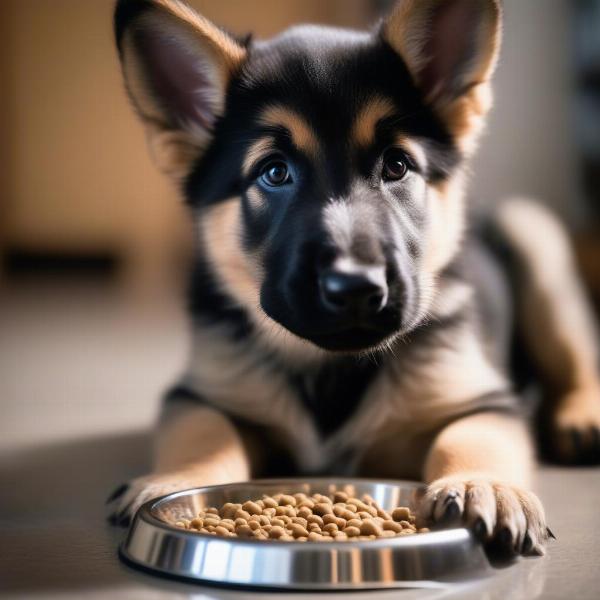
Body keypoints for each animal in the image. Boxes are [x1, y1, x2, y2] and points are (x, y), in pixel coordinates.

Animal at [108, 0, 600, 556]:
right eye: (274, 172)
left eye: (397, 165)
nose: (357, 289)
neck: (330, 368)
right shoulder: (200, 393)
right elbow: (206, 433)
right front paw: (175, 480)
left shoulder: (483, 400)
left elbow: (470, 438)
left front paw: (484, 484)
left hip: (533, 234)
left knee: (576, 360)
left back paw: (581, 416)